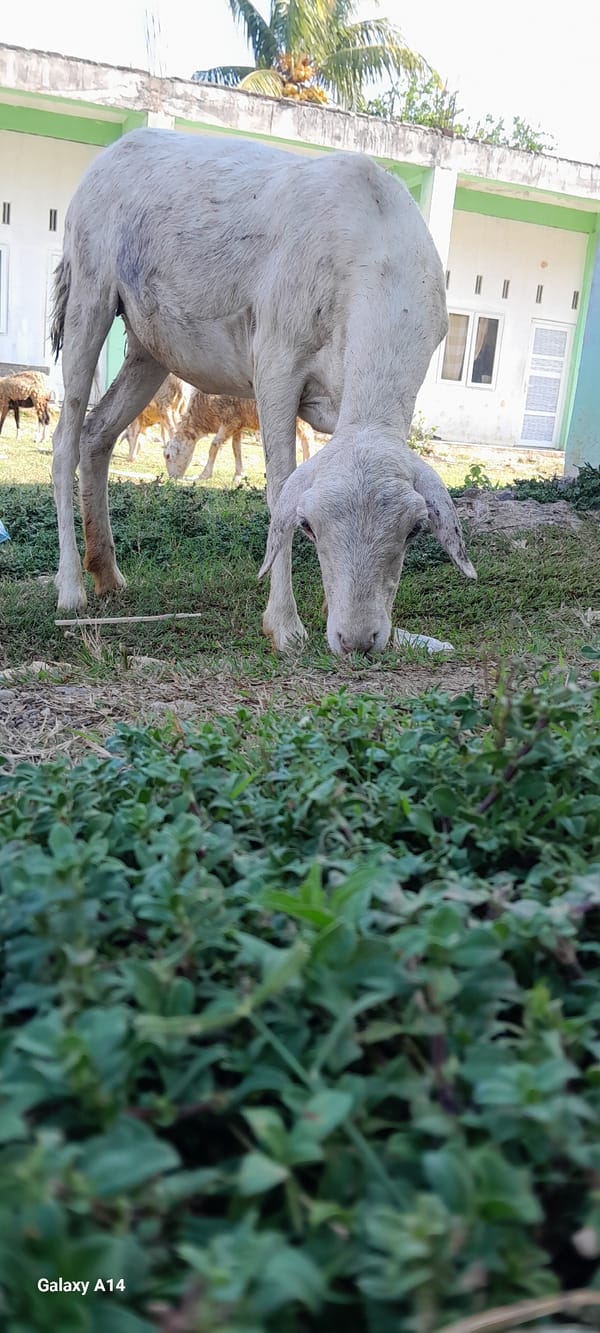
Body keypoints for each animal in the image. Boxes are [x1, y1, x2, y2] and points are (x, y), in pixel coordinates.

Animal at [163, 389, 315, 483]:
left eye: (168, 456)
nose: (172, 478)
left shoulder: (229, 419)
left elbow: (214, 446)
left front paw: (204, 475)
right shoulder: (237, 424)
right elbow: (236, 449)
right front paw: (238, 475)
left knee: (307, 440)